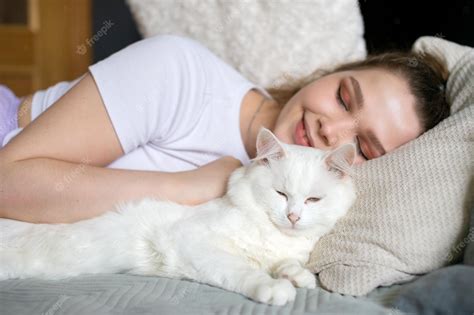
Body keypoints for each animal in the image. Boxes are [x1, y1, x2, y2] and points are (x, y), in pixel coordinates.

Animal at [0, 128, 356, 306]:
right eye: (281, 194)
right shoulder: (191, 242)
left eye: (313, 199)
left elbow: (284, 264)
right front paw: (274, 289)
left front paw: (297, 276)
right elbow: (244, 270)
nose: (293, 216)